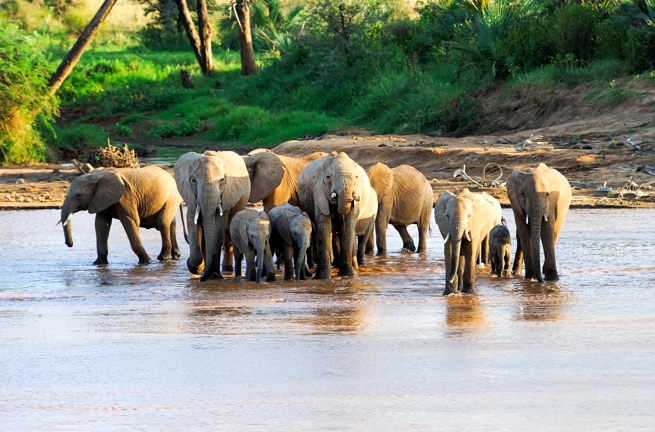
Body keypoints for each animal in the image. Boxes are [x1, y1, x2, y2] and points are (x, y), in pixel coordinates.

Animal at [174, 150, 251, 281]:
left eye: (222, 180)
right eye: (193, 180)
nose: (203, 277)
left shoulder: (225, 196)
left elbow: (217, 225)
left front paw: (211, 276)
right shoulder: (191, 196)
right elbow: (192, 222)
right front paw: (198, 268)